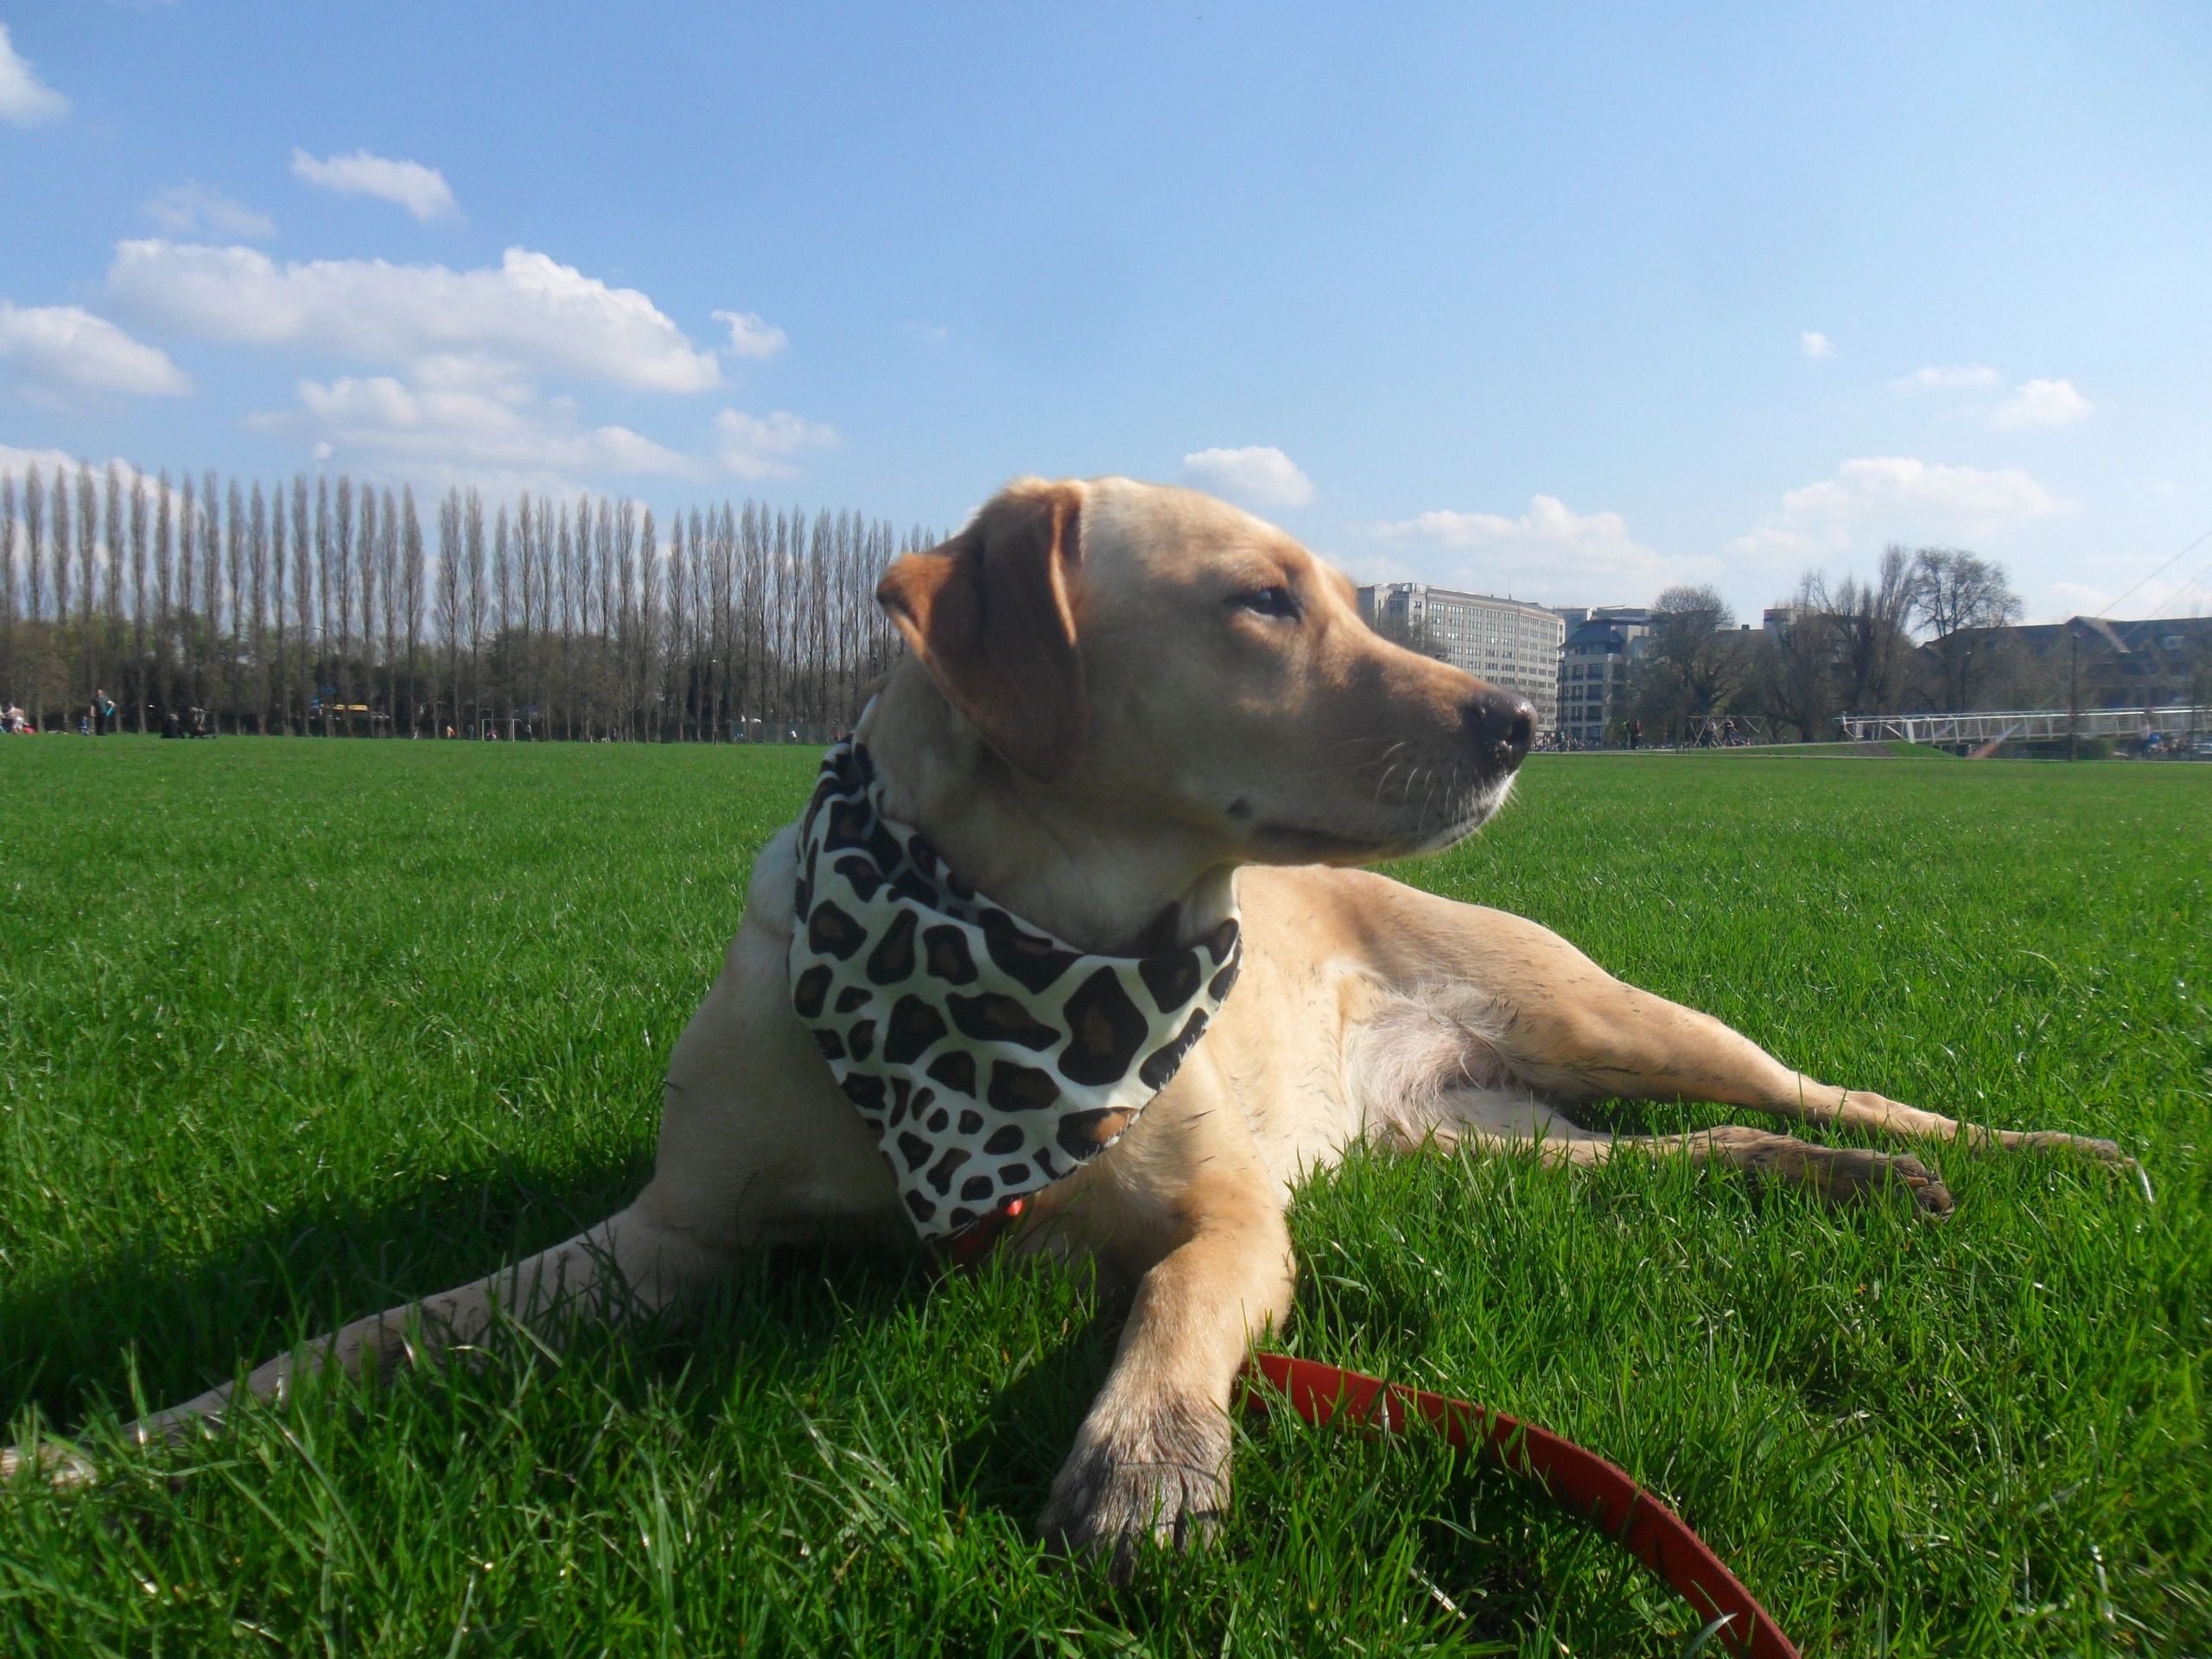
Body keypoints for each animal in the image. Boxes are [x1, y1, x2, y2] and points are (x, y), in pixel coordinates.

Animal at [8, 475, 2129, 1567]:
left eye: (1339, 594)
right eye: (1265, 603)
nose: (1517, 718)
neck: (1014, 957)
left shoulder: (1230, 1211)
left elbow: (1176, 1303)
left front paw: (1145, 1458)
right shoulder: (662, 1245)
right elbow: (358, 1342)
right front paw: (109, 1450)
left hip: (1603, 1016)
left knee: (1838, 1088)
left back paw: (2048, 1157)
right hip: (1473, 1159)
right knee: (1692, 1156)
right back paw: (1843, 1198)